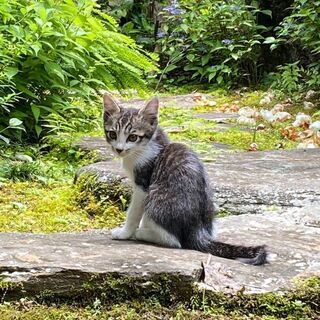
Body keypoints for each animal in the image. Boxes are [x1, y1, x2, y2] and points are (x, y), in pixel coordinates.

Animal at [104, 94, 266, 264]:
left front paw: (124, 233)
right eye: (113, 134)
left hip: (155, 199)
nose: (119, 149)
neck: (148, 145)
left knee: (175, 241)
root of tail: (197, 230)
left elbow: (134, 212)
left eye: (133, 137)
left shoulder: (143, 184)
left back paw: (142, 233)